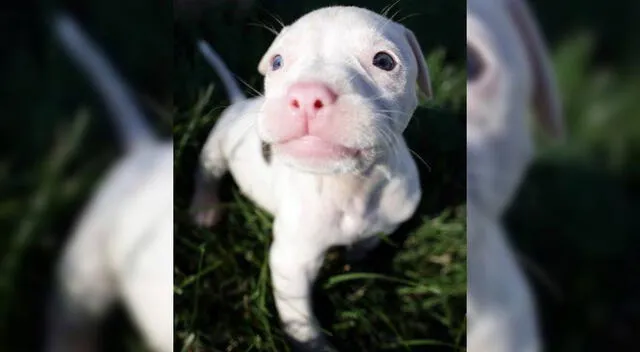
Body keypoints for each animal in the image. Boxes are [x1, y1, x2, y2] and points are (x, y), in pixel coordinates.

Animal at [189, 5, 430, 350]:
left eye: (384, 61)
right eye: (277, 62)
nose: (306, 96)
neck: (350, 185)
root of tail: (239, 103)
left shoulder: (389, 220)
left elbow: (368, 242)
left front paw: (356, 259)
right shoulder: (292, 262)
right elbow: (300, 317)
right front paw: (313, 343)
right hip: (217, 148)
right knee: (206, 173)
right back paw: (204, 208)